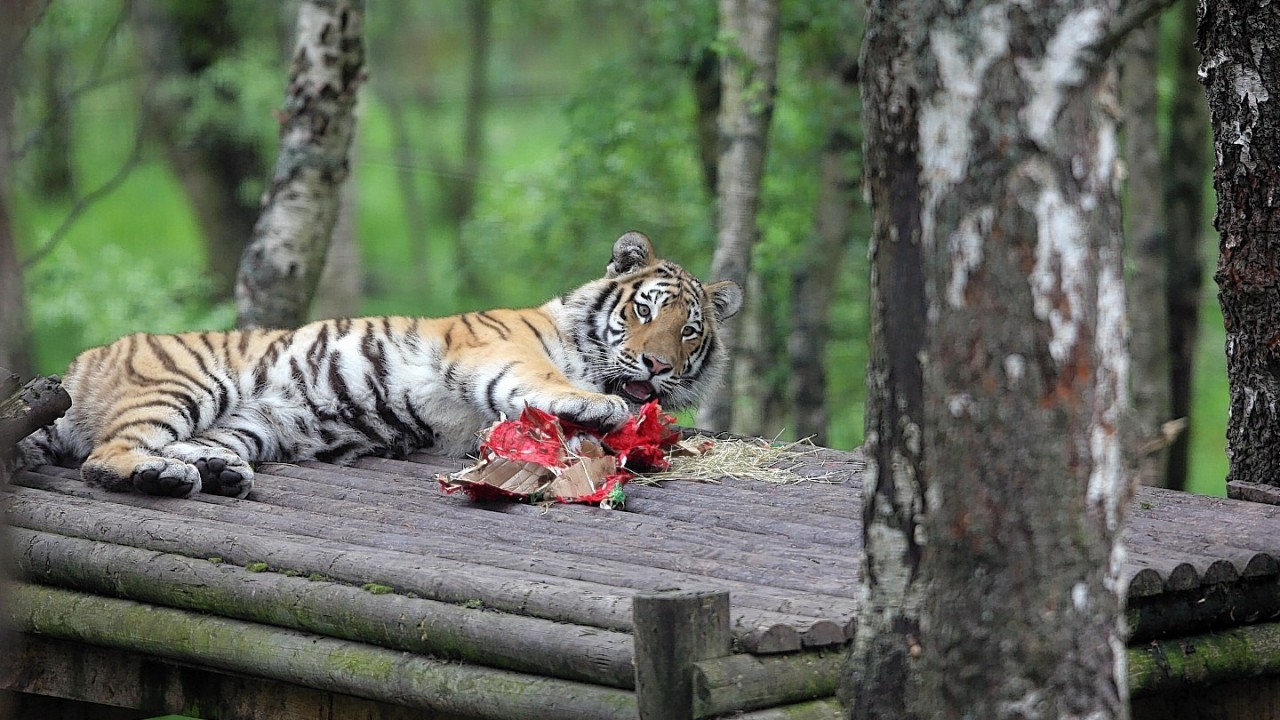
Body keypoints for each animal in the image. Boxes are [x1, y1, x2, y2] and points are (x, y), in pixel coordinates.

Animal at [12, 230, 742, 499]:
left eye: (689, 332)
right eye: (645, 310)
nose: (656, 366)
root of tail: (75, 367)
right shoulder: (498, 348)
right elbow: (542, 381)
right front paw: (600, 406)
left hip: (247, 425)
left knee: (176, 447)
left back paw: (215, 473)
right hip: (185, 384)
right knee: (104, 455)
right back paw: (163, 477)